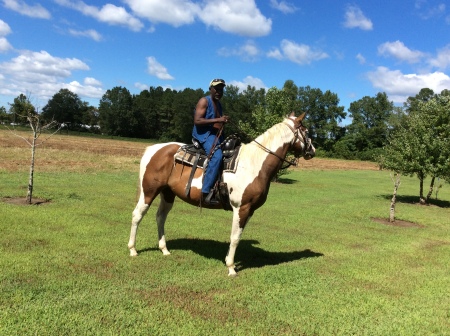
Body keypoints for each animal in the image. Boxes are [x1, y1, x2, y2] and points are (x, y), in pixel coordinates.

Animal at [126, 113, 316, 276]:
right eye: (306, 131)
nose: (312, 151)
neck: (254, 164)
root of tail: (153, 149)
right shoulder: (241, 208)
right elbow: (235, 237)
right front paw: (231, 267)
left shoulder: (250, 210)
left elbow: (238, 235)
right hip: (149, 191)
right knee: (137, 215)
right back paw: (133, 249)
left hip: (167, 193)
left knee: (160, 217)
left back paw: (164, 249)